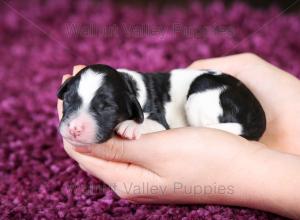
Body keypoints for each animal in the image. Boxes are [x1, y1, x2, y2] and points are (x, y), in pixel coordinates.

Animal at [57, 63, 266, 146]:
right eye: (68, 99)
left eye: (107, 108)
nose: (74, 128)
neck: (129, 83)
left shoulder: (159, 119)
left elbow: (151, 122)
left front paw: (131, 126)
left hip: (201, 91)